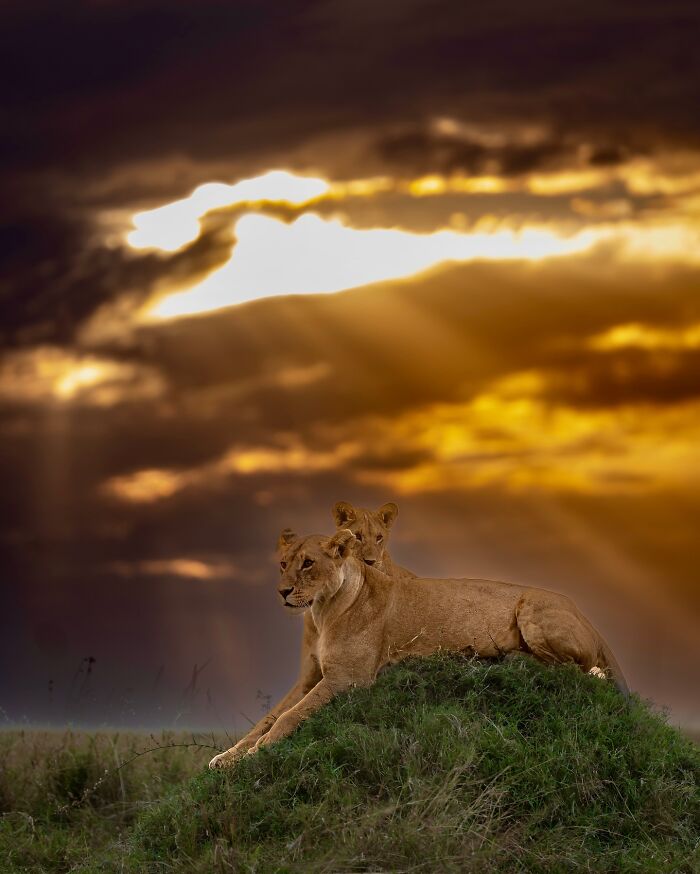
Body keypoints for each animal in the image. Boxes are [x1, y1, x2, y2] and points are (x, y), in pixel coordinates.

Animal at [209, 528, 628, 769]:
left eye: (308, 563)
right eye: (283, 564)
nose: (281, 592)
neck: (322, 611)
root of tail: (586, 615)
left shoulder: (348, 678)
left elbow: (288, 717)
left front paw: (257, 753)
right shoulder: (309, 677)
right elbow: (265, 718)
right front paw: (226, 757)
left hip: (532, 609)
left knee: (573, 670)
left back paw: (501, 655)